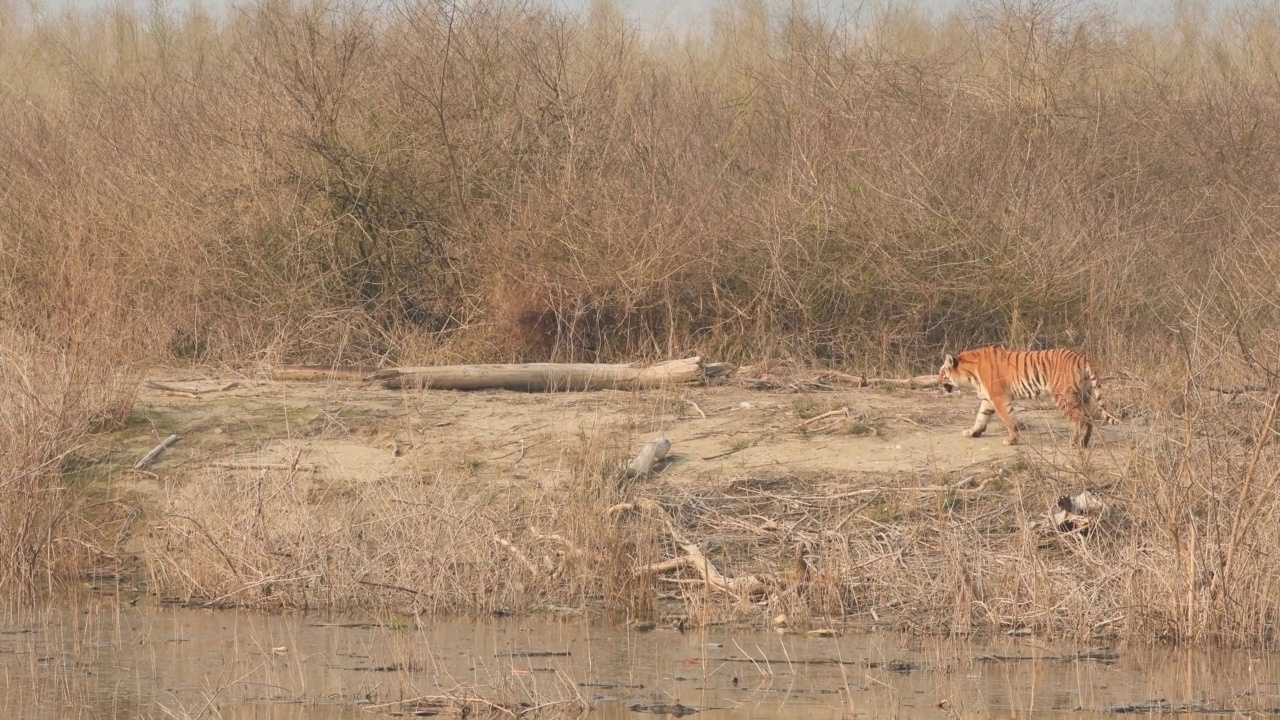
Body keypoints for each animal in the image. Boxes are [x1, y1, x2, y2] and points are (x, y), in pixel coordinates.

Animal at [931, 345, 1121, 445]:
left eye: (941, 372)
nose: (936, 382)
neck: (970, 374)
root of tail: (1082, 357)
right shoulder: (988, 399)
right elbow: (981, 417)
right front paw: (972, 432)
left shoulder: (998, 397)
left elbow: (1008, 419)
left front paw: (1011, 440)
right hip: (1084, 395)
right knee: (1089, 417)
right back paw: (1084, 442)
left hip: (1064, 397)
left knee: (1080, 418)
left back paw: (1074, 443)